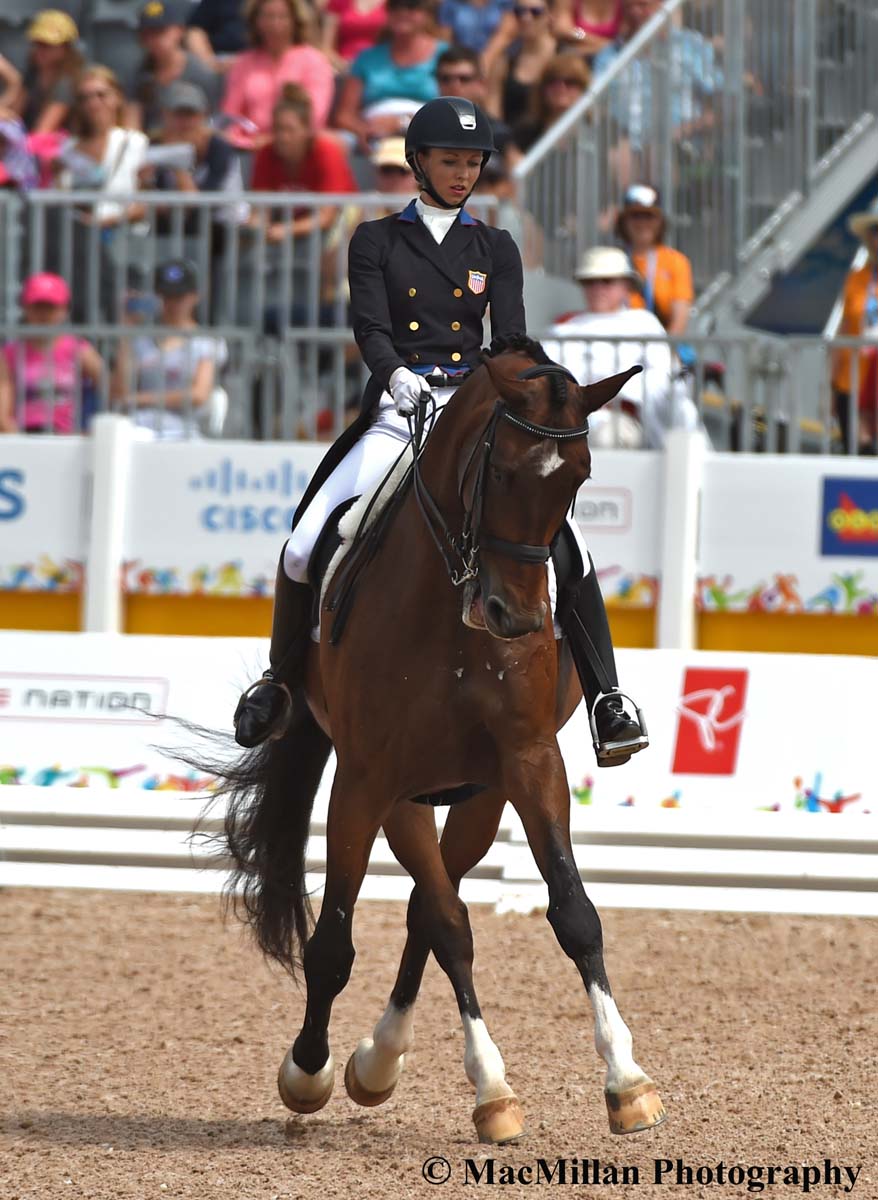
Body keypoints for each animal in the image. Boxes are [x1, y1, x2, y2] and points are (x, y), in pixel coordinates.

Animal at [214, 338, 666, 1142]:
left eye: (578, 478)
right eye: (501, 471)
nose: (514, 617)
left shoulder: (529, 764)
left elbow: (572, 915)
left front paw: (626, 1080)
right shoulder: (366, 781)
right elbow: (337, 943)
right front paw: (308, 1070)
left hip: (475, 796)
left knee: (433, 910)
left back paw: (383, 1060)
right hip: (404, 792)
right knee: (432, 913)